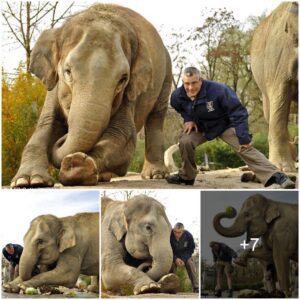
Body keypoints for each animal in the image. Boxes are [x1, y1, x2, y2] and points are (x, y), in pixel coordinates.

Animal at [11, 4, 171, 188]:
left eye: (123, 79)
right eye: (67, 71)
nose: (63, 137)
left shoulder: (130, 95)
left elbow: (123, 136)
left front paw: (77, 165)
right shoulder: (54, 88)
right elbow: (46, 125)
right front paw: (29, 180)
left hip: (167, 74)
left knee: (156, 117)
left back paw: (155, 175)